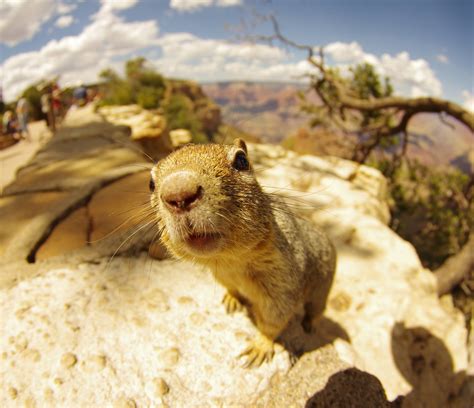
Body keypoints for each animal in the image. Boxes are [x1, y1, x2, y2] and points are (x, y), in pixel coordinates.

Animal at [150, 139, 336, 368]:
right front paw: (232, 298)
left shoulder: (282, 286)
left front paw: (260, 346)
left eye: (241, 160)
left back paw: (310, 324)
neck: (229, 261)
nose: (178, 193)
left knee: (316, 309)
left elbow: (274, 320)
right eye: (150, 183)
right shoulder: (222, 276)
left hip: (322, 289)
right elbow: (232, 289)